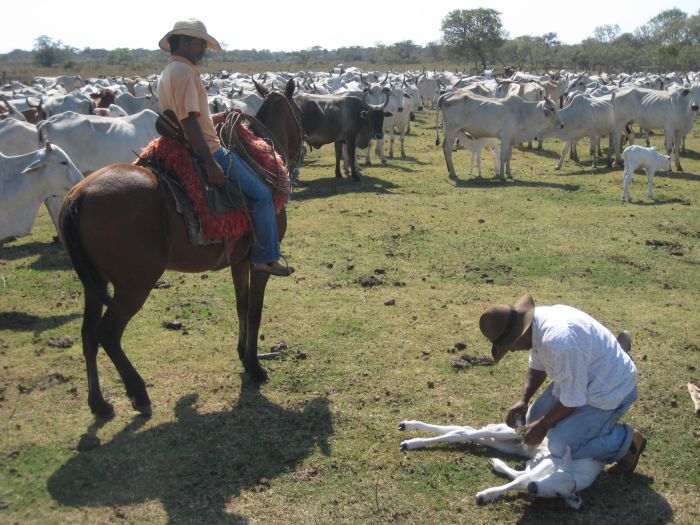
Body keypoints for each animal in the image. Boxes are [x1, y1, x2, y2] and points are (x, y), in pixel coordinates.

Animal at [59, 78, 300, 418]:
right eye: (299, 112)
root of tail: (78, 195)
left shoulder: (239, 261)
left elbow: (241, 305)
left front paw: (243, 355)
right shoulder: (258, 262)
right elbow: (255, 310)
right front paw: (255, 368)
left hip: (95, 283)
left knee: (88, 333)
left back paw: (100, 404)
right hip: (134, 285)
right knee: (108, 333)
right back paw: (139, 393)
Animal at [400, 418, 600, 508]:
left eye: (558, 494)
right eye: (554, 474)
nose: (534, 488)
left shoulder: (536, 464)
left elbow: (521, 476)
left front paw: (496, 464)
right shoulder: (548, 462)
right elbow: (521, 480)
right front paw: (485, 495)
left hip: (510, 445)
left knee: (466, 431)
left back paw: (409, 431)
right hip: (509, 432)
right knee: (464, 433)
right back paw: (410, 438)